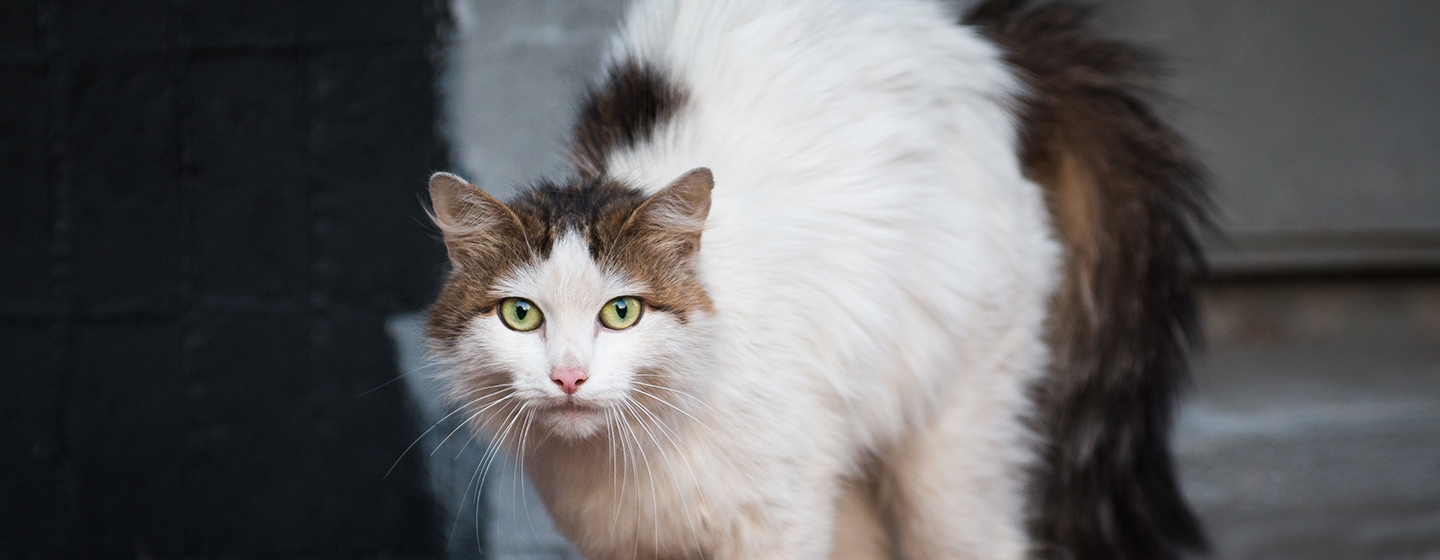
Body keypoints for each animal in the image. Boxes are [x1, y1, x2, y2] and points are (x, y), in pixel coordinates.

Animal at [423, 1, 1203, 558]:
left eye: (621, 313)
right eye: (522, 315)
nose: (569, 377)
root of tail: (978, 46)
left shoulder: (776, 525)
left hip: (954, 440)